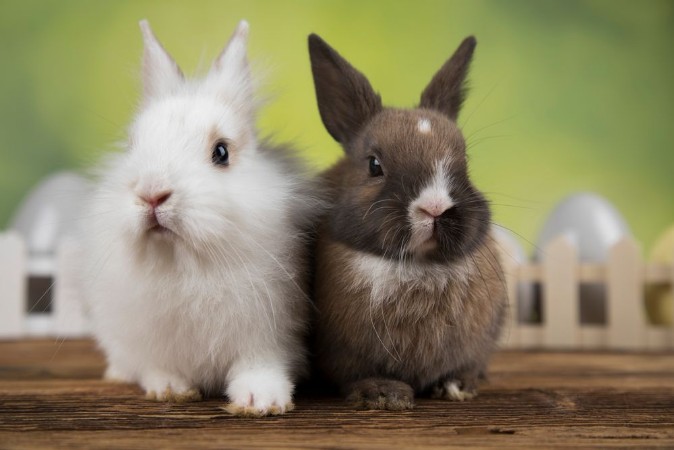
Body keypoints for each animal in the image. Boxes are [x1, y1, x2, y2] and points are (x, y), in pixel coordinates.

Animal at [80, 19, 320, 417]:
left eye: (221, 152)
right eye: (132, 145)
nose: (152, 193)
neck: (186, 264)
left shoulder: (270, 335)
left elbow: (261, 364)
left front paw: (261, 401)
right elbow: (158, 368)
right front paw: (170, 389)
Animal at [308, 34, 506, 410]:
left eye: (465, 161)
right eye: (374, 165)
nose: (435, 207)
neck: (419, 265)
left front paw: (457, 385)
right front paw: (383, 394)